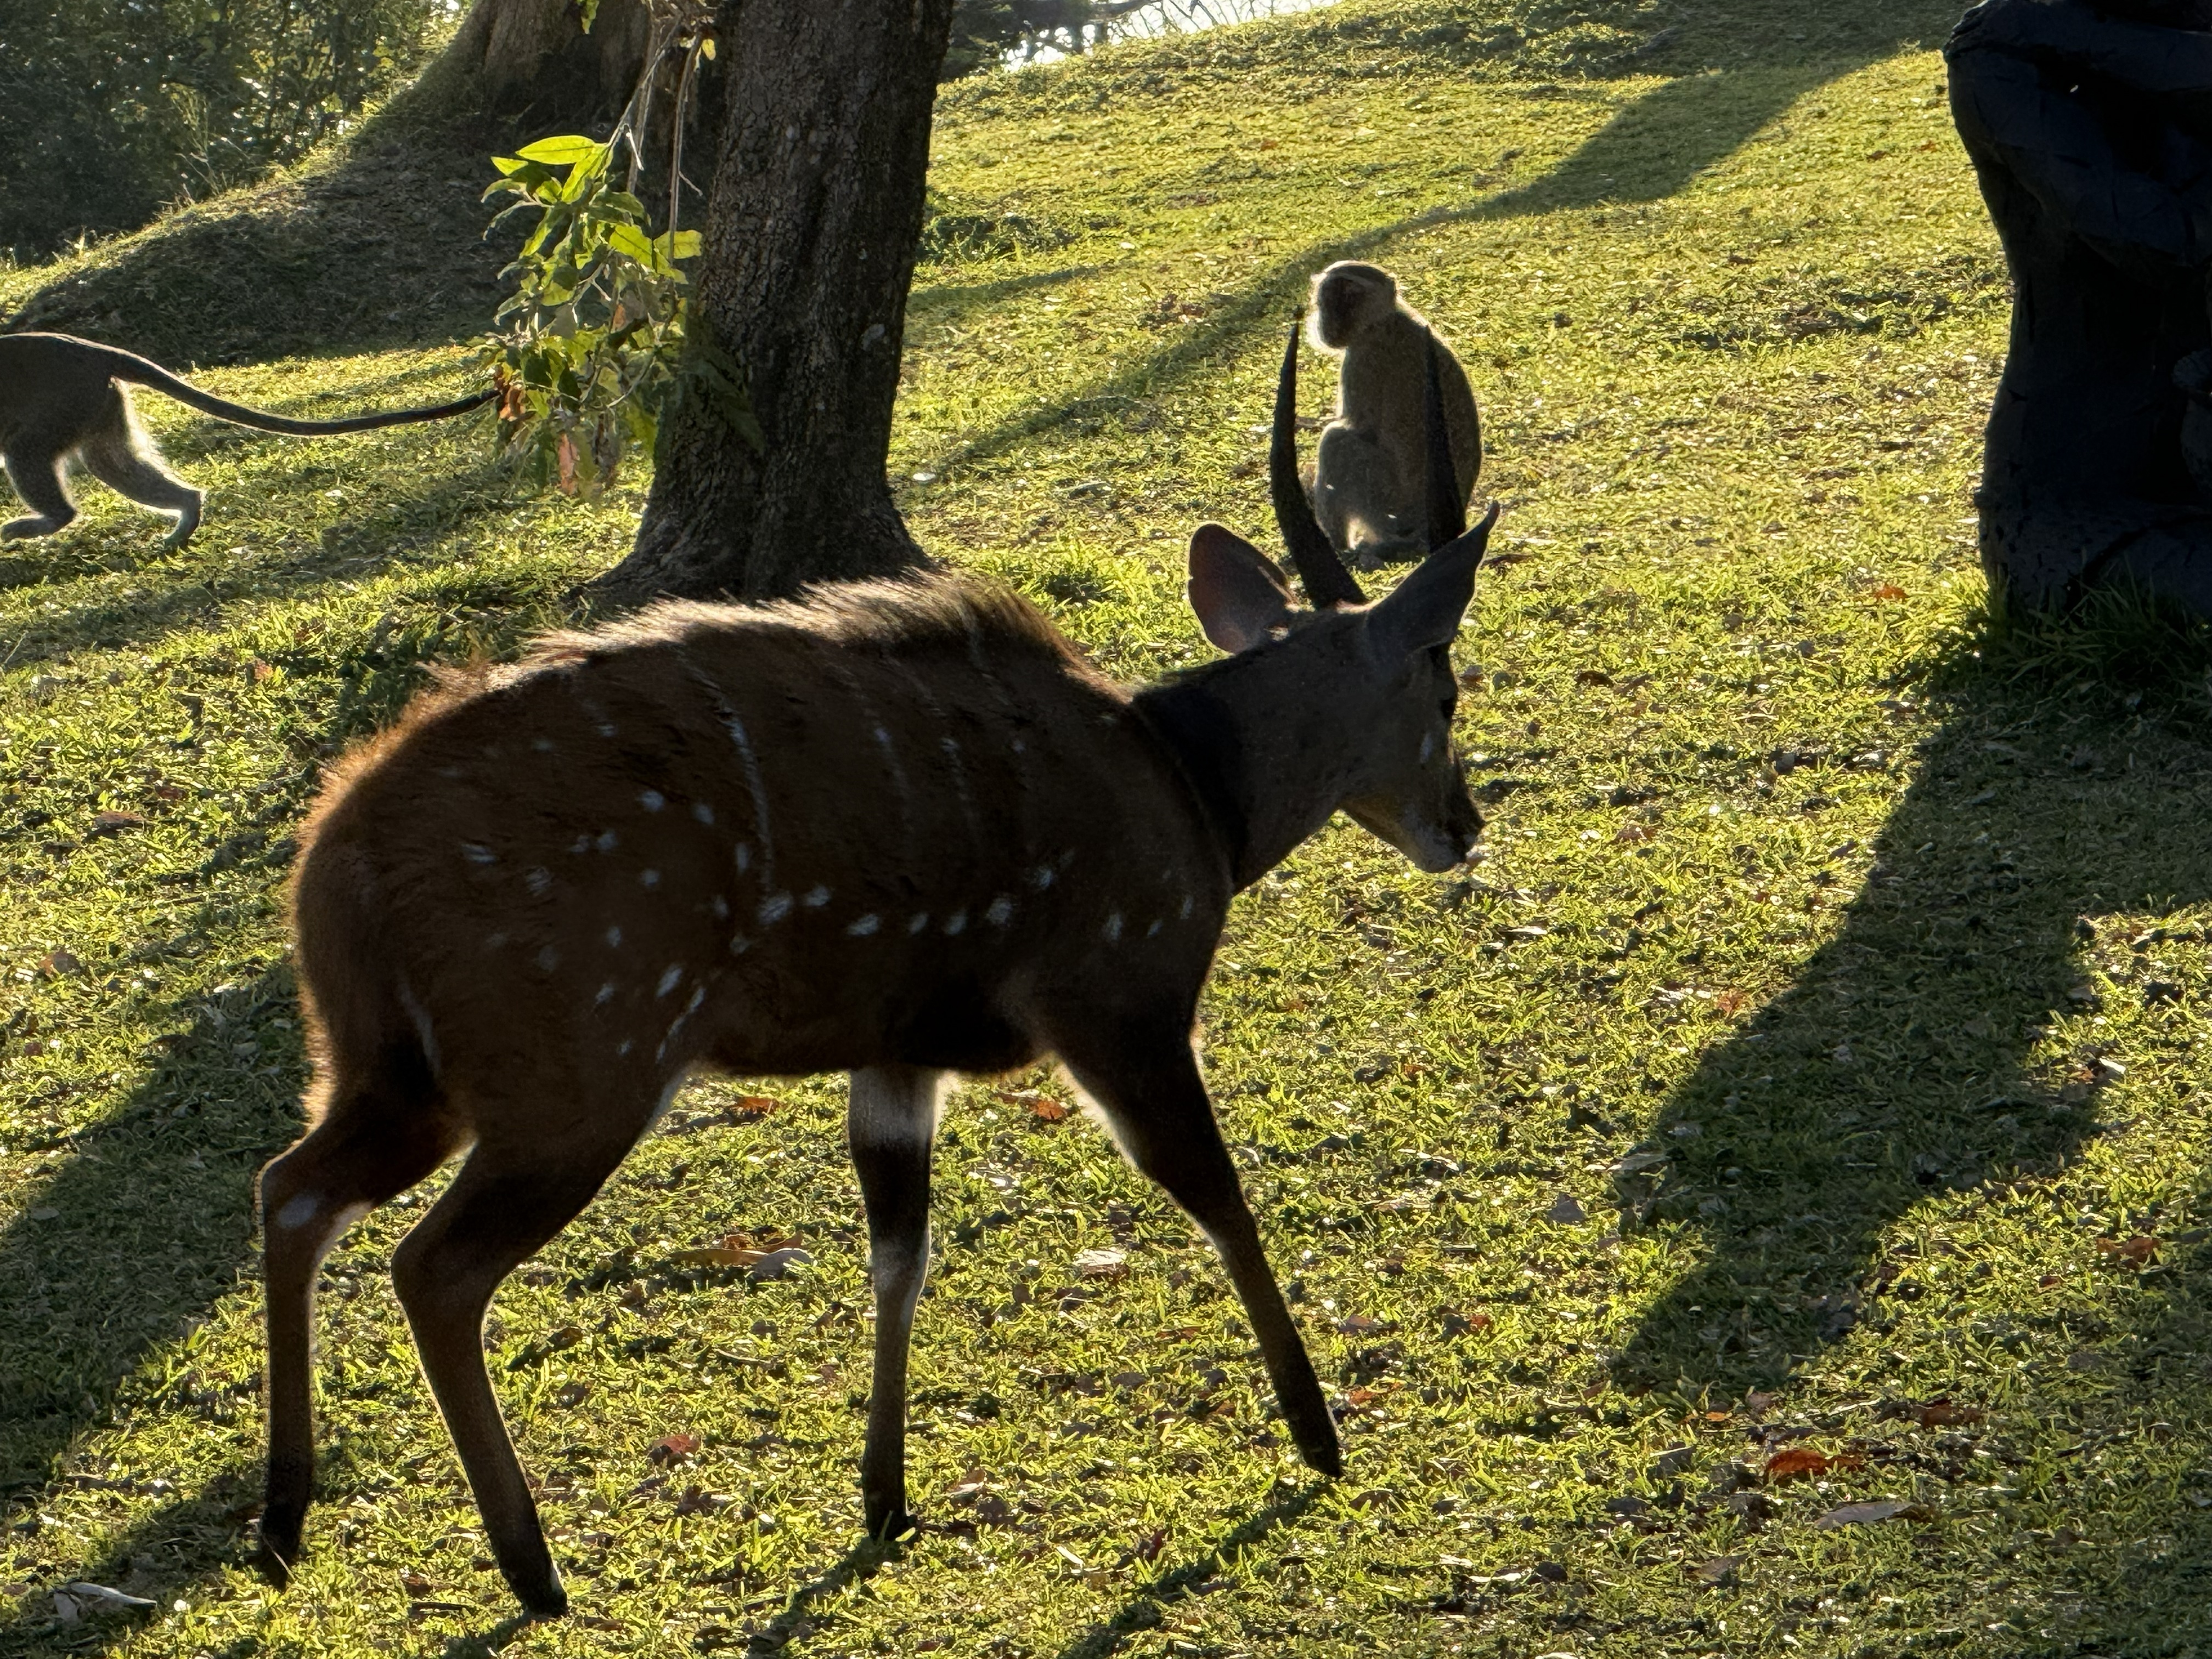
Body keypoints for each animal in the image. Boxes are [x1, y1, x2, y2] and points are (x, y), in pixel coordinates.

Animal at [0, 333, 496, 551]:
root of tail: (90, 350)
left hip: (69, 401)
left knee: (25, 452)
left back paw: (53, 518)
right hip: (96, 402)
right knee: (111, 462)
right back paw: (188, 512)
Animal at [1304, 261, 1481, 567]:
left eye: (1348, 296)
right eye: (1328, 301)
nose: (1329, 323)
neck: (1383, 320)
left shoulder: (1362, 358)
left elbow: (1358, 429)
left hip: (1388, 508)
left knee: (1338, 442)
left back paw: (1337, 546)